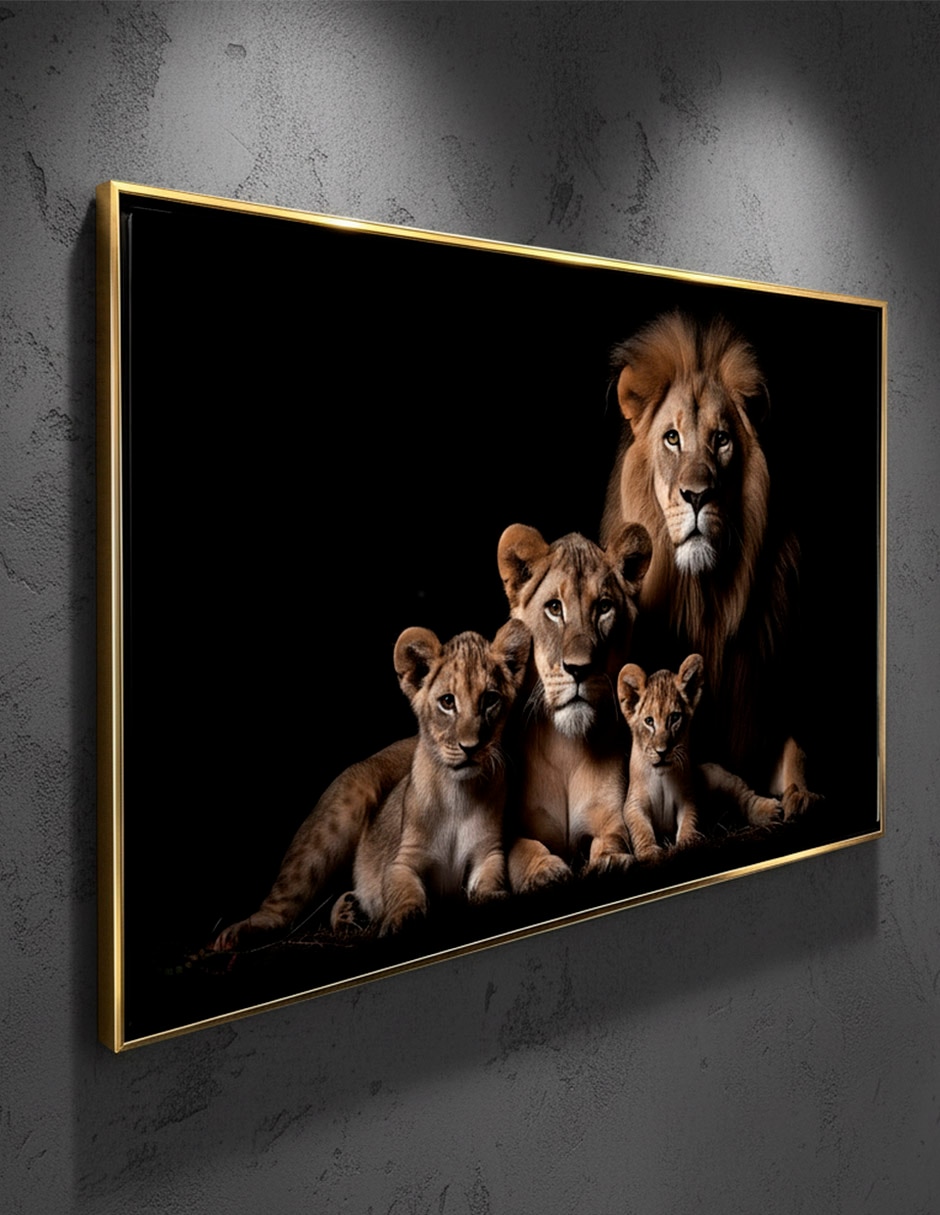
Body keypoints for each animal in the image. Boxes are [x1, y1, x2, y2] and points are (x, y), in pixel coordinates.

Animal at [496, 521, 652, 891]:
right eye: (554, 608)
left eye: (604, 607)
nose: (579, 669)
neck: (566, 748)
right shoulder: (512, 830)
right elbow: (522, 850)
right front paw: (544, 871)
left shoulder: (610, 816)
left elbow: (613, 838)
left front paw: (611, 862)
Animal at [601, 310, 818, 818]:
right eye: (672, 438)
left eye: (721, 440)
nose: (697, 496)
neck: (704, 596)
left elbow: (795, 749)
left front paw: (800, 796)